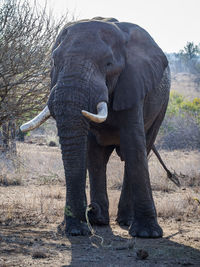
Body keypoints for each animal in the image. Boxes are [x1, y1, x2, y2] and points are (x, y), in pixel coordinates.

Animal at [20, 17, 170, 239]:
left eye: (108, 64)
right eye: (54, 61)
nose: (90, 210)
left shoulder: (133, 83)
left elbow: (133, 144)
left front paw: (148, 234)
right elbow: (90, 151)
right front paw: (80, 228)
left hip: (162, 105)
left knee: (141, 147)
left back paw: (125, 221)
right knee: (99, 155)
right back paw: (103, 220)